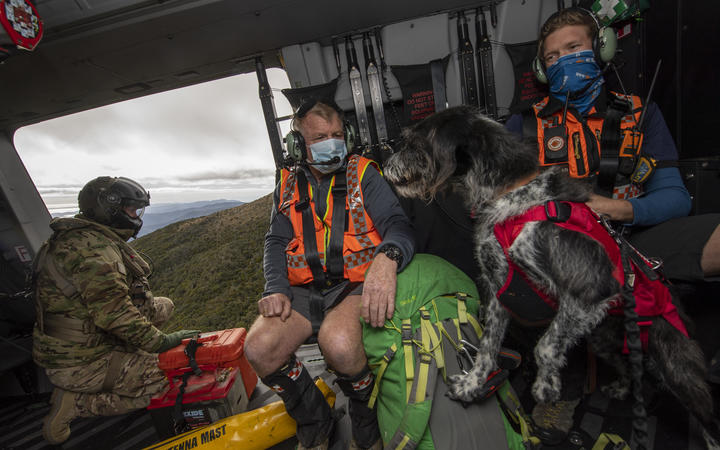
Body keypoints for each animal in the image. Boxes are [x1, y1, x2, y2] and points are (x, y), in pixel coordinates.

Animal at [386, 106, 720, 446]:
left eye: (414, 144)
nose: (386, 164)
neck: (511, 193)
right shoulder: (499, 292)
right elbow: (487, 348)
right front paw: (472, 385)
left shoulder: (591, 291)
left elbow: (545, 345)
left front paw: (546, 387)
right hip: (603, 340)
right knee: (626, 365)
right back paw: (622, 387)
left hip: (677, 368)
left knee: (707, 415)